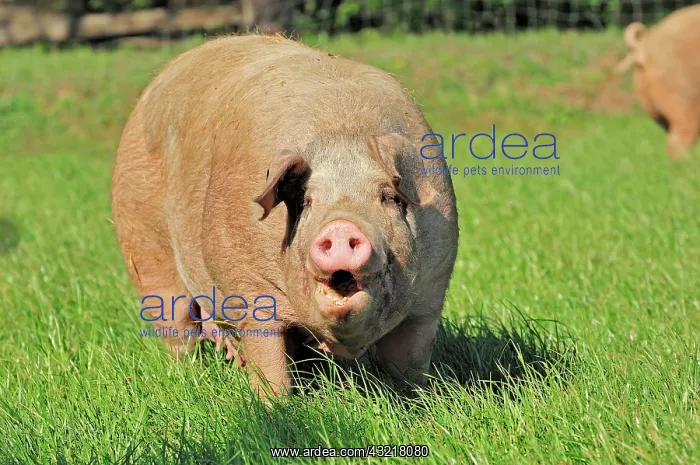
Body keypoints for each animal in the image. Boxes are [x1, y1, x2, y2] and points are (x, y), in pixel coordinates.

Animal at [111, 34, 459, 397]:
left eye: (388, 197)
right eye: (307, 202)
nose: (340, 226)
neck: (341, 130)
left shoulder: (431, 294)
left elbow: (409, 360)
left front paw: (417, 399)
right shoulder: (250, 289)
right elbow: (269, 361)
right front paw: (274, 404)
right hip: (145, 244)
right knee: (177, 326)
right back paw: (188, 373)